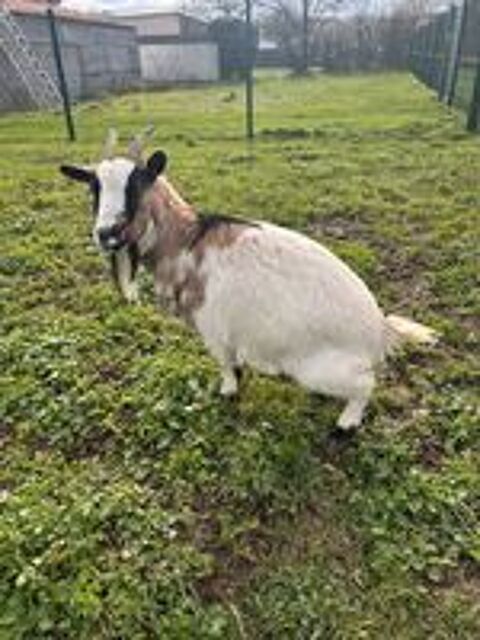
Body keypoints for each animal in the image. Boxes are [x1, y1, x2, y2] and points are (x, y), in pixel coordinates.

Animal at [60, 140, 437, 433]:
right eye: (93, 187)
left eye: (136, 186)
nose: (106, 233)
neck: (187, 240)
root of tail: (379, 330)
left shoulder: (214, 329)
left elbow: (226, 365)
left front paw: (227, 391)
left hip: (319, 369)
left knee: (364, 385)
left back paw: (347, 423)